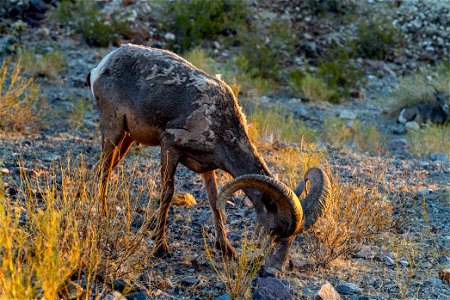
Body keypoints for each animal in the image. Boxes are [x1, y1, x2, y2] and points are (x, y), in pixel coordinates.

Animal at [88, 45, 330, 274]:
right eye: (273, 230)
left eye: (292, 238)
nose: (274, 270)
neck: (219, 124)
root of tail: (103, 64)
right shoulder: (169, 146)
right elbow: (167, 195)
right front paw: (160, 248)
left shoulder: (207, 168)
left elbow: (215, 203)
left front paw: (227, 250)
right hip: (113, 130)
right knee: (104, 172)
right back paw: (102, 216)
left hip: (127, 138)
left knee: (103, 170)